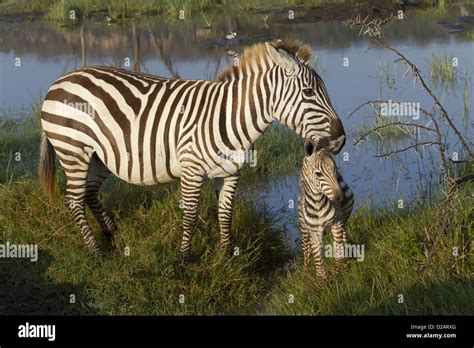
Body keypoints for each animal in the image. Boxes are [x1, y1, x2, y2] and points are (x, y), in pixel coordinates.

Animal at [39, 39, 346, 260]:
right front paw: (185, 257)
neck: (228, 117)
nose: (340, 139)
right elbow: (190, 215)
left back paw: (112, 235)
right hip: (73, 151)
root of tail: (58, 81)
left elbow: (225, 212)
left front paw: (227, 254)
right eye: (308, 93)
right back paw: (96, 251)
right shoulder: (191, 169)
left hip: (98, 157)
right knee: (74, 200)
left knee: (90, 194)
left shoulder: (232, 172)